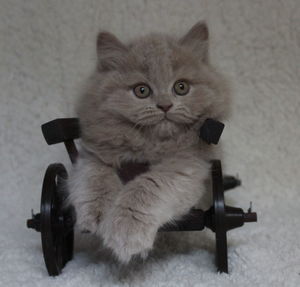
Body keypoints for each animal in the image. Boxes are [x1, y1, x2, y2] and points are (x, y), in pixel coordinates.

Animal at [67, 21, 230, 266]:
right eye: (141, 90)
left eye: (181, 87)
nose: (165, 105)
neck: (150, 146)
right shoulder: (92, 157)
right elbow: (96, 178)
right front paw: (96, 215)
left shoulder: (185, 166)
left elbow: (146, 187)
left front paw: (125, 232)